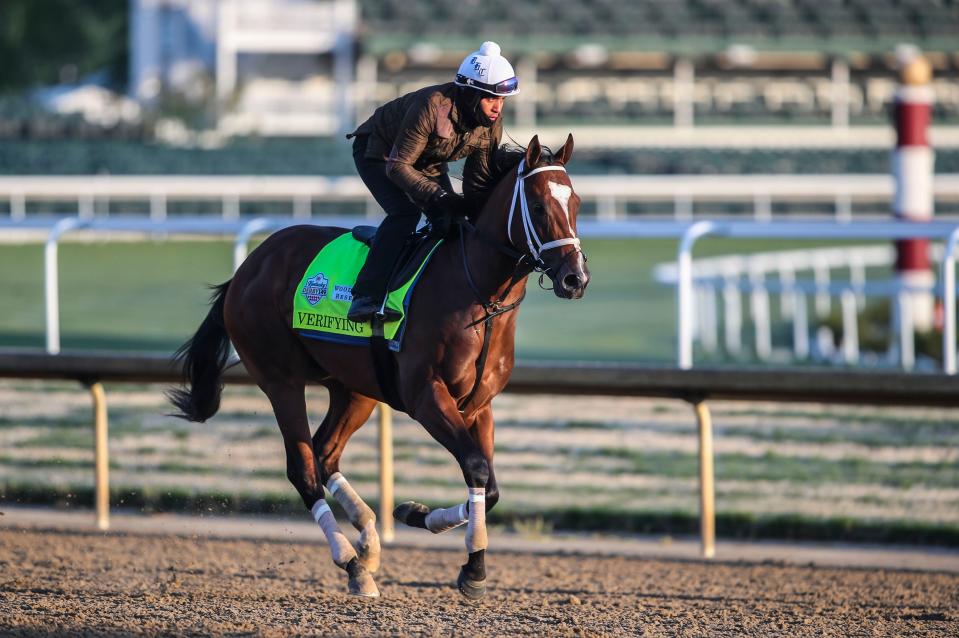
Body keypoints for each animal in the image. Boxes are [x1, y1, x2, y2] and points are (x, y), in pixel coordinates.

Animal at [171, 134, 592, 600]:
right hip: (280, 381)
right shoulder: (427, 396)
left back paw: (369, 541)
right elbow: (477, 468)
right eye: (537, 205)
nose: (575, 278)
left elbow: (489, 485)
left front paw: (418, 515)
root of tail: (247, 269)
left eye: (575, 202)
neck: (478, 295)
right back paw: (352, 562)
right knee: (303, 468)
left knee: (325, 453)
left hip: (353, 388)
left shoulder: (479, 405)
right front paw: (473, 567)